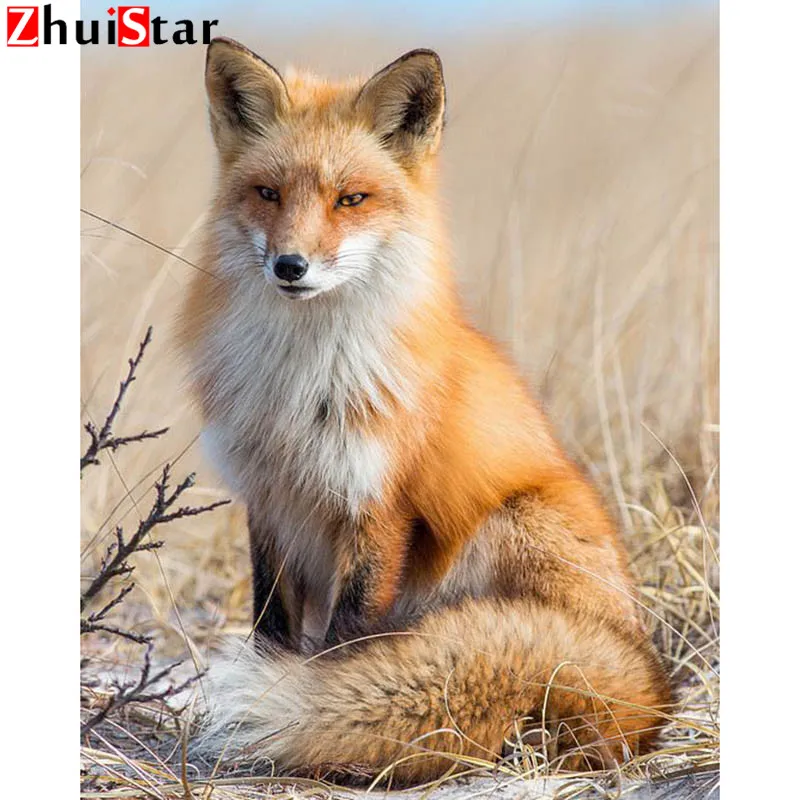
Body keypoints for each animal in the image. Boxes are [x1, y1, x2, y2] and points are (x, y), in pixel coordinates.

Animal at [178, 37, 672, 783]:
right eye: (268, 194)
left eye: (351, 199)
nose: (290, 266)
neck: (303, 385)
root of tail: (649, 688)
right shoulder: (269, 498)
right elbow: (270, 624)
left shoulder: (378, 503)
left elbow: (345, 641)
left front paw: (319, 707)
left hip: (509, 523)